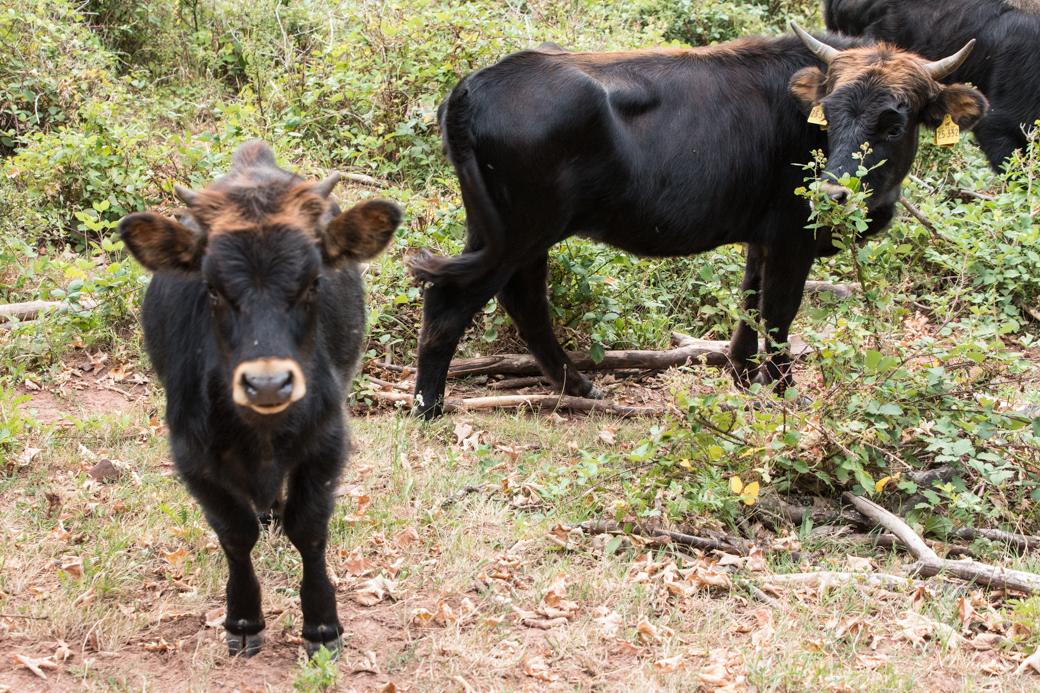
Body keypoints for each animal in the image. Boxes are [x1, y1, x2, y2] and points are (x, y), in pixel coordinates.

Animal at [116, 141, 401, 657]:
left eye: (314, 283)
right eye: (211, 288)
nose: (268, 384)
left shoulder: (327, 444)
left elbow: (309, 531)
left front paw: (322, 625)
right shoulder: (192, 456)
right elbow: (235, 533)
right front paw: (244, 618)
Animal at [405, 22, 981, 416]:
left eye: (894, 123)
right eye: (830, 115)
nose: (831, 193)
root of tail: (476, 84)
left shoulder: (762, 237)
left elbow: (749, 301)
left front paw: (742, 377)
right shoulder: (792, 237)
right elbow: (779, 314)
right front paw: (781, 393)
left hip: (503, 232)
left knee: (523, 303)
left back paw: (579, 386)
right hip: (518, 233)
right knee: (454, 300)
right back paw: (429, 405)